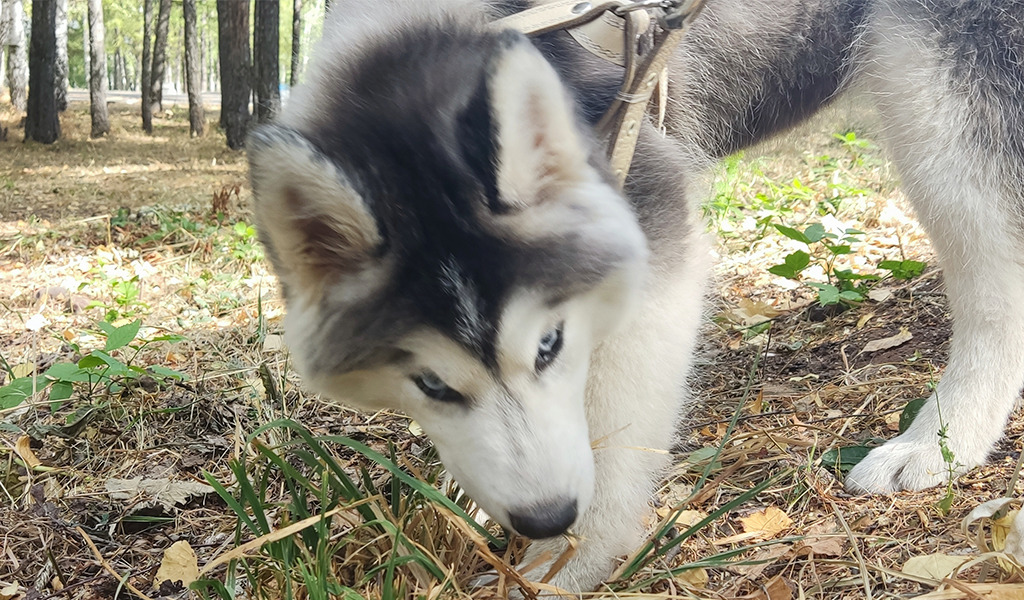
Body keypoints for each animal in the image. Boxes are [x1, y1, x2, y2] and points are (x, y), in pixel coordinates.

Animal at [249, 0, 1024, 589]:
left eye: (550, 345)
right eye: (430, 384)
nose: (545, 518)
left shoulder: (646, 202)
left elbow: (619, 433)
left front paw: (565, 563)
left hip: (933, 90)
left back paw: (940, 440)